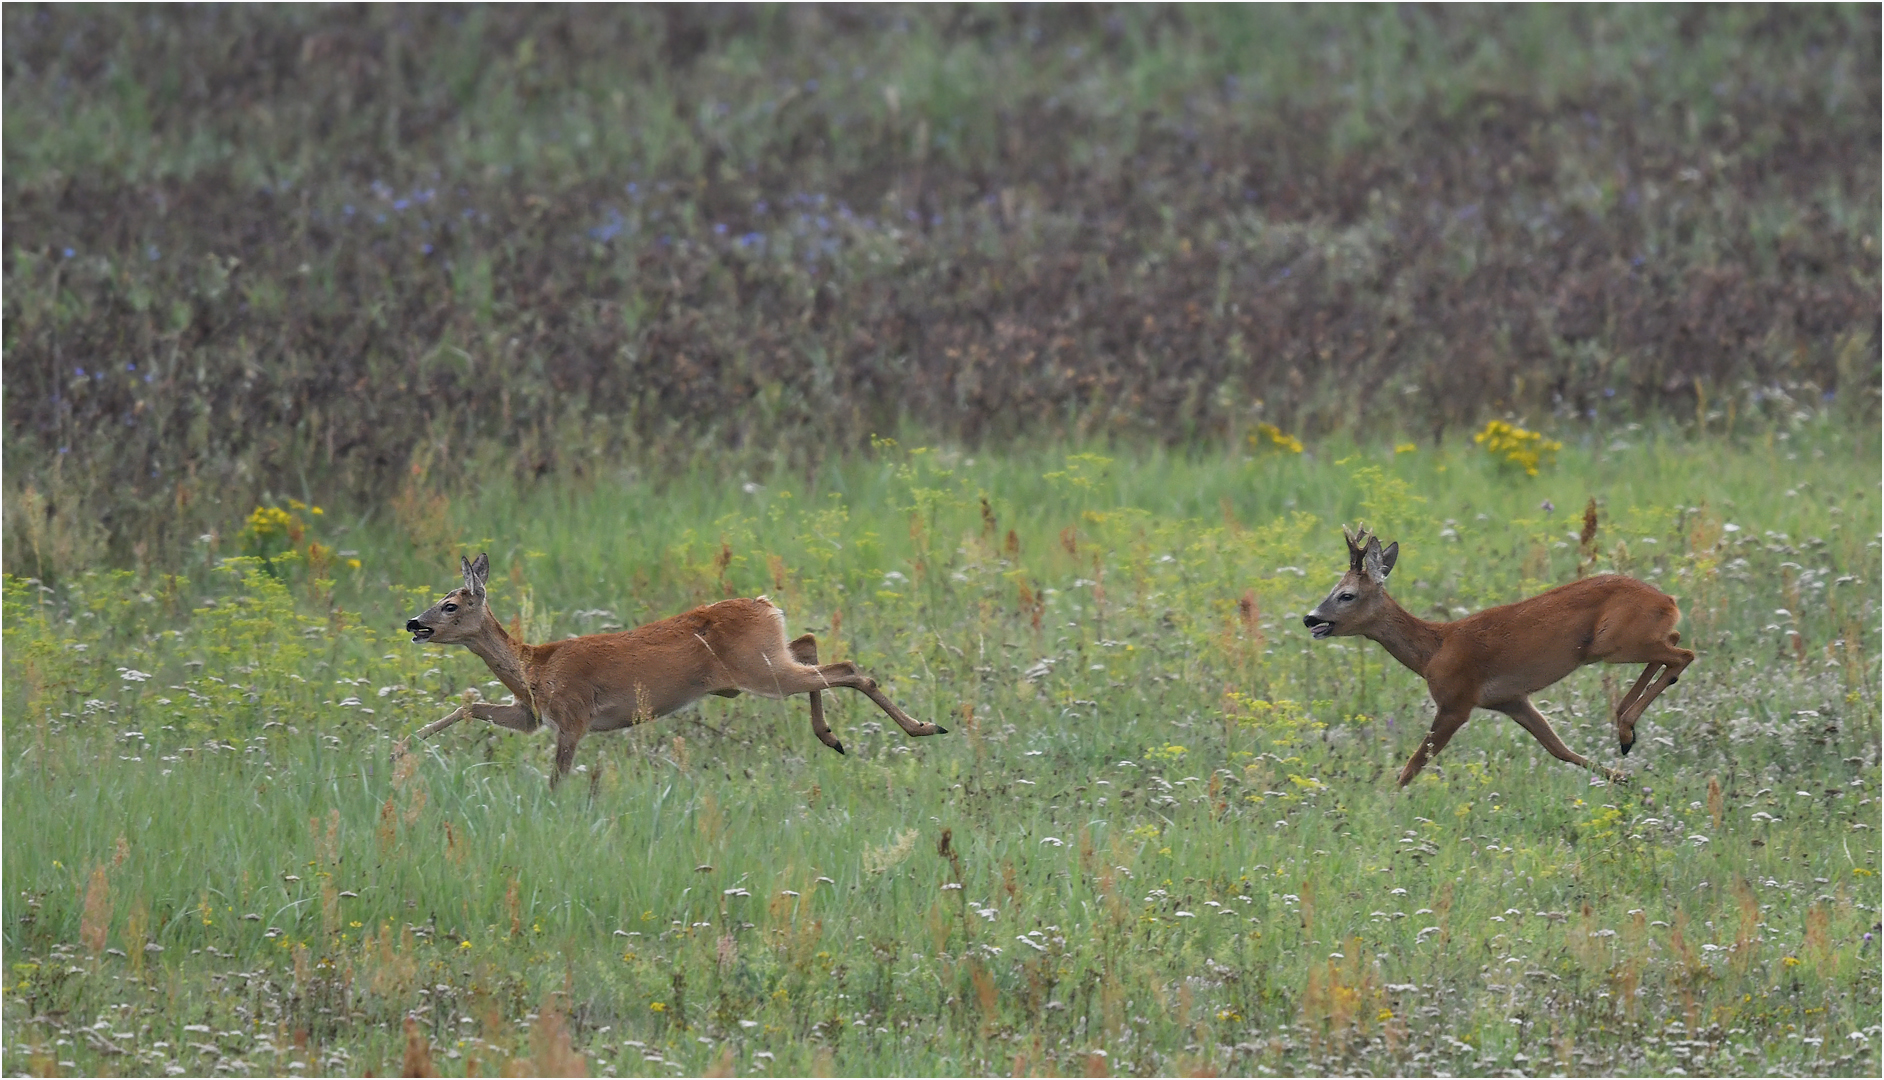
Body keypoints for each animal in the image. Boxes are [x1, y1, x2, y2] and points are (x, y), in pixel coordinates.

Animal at [406, 554, 949, 776]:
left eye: (450, 606)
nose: (414, 622)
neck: (534, 667)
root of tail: (766, 605)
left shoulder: (574, 714)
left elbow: (558, 776)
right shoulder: (534, 715)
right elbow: (471, 706)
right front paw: (405, 745)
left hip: (760, 670)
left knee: (848, 667)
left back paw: (925, 727)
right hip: (770, 657)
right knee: (813, 645)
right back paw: (833, 736)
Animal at [1311, 523, 1695, 784]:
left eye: (1346, 595)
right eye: (1332, 589)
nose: (1310, 618)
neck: (1433, 650)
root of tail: (1669, 600)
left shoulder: (1456, 701)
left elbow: (1413, 765)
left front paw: (1387, 800)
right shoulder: (1512, 700)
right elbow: (1559, 749)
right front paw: (1625, 780)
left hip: (1612, 643)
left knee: (1683, 653)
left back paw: (1626, 729)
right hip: (1621, 642)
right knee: (1674, 643)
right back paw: (1624, 728)